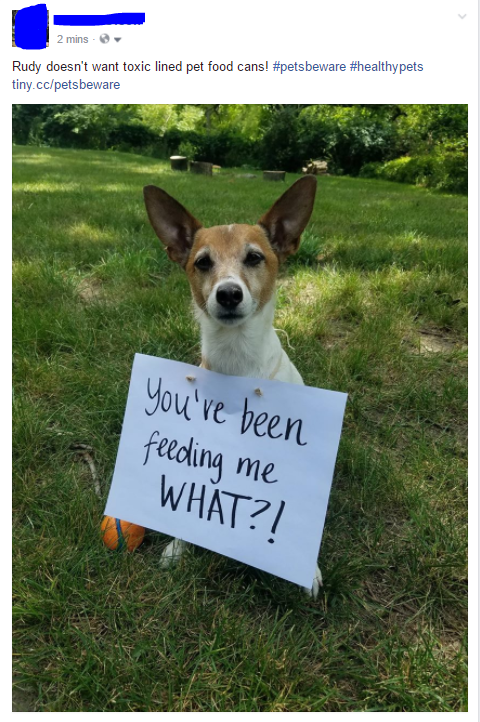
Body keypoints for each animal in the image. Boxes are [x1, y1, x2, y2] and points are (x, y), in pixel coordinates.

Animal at [142, 176, 322, 596]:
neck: (237, 359)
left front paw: (307, 568)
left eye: (254, 258)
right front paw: (179, 544)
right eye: (202, 262)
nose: (227, 293)